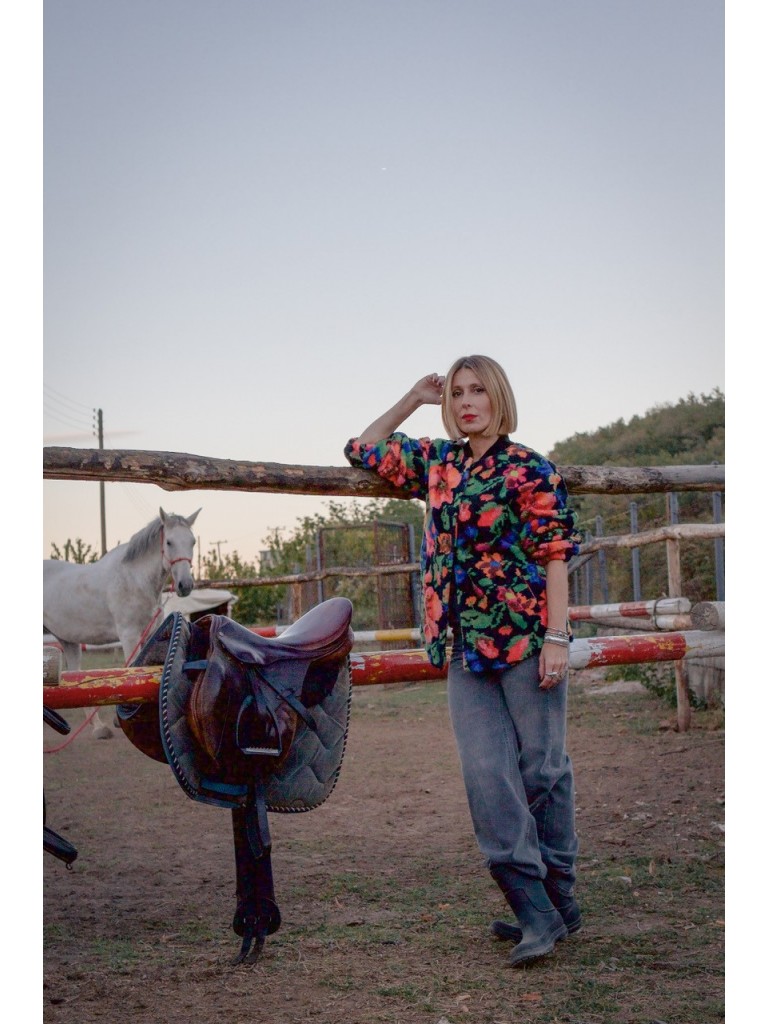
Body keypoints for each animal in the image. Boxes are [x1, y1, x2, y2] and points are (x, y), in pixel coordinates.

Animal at [43, 509, 199, 737]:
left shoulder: (149, 633)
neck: (134, 579)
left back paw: (99, 728)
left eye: (192, 541)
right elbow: (131, 671)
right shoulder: (129, 635)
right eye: (169, 542)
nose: (185, 585)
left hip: (68, 641)